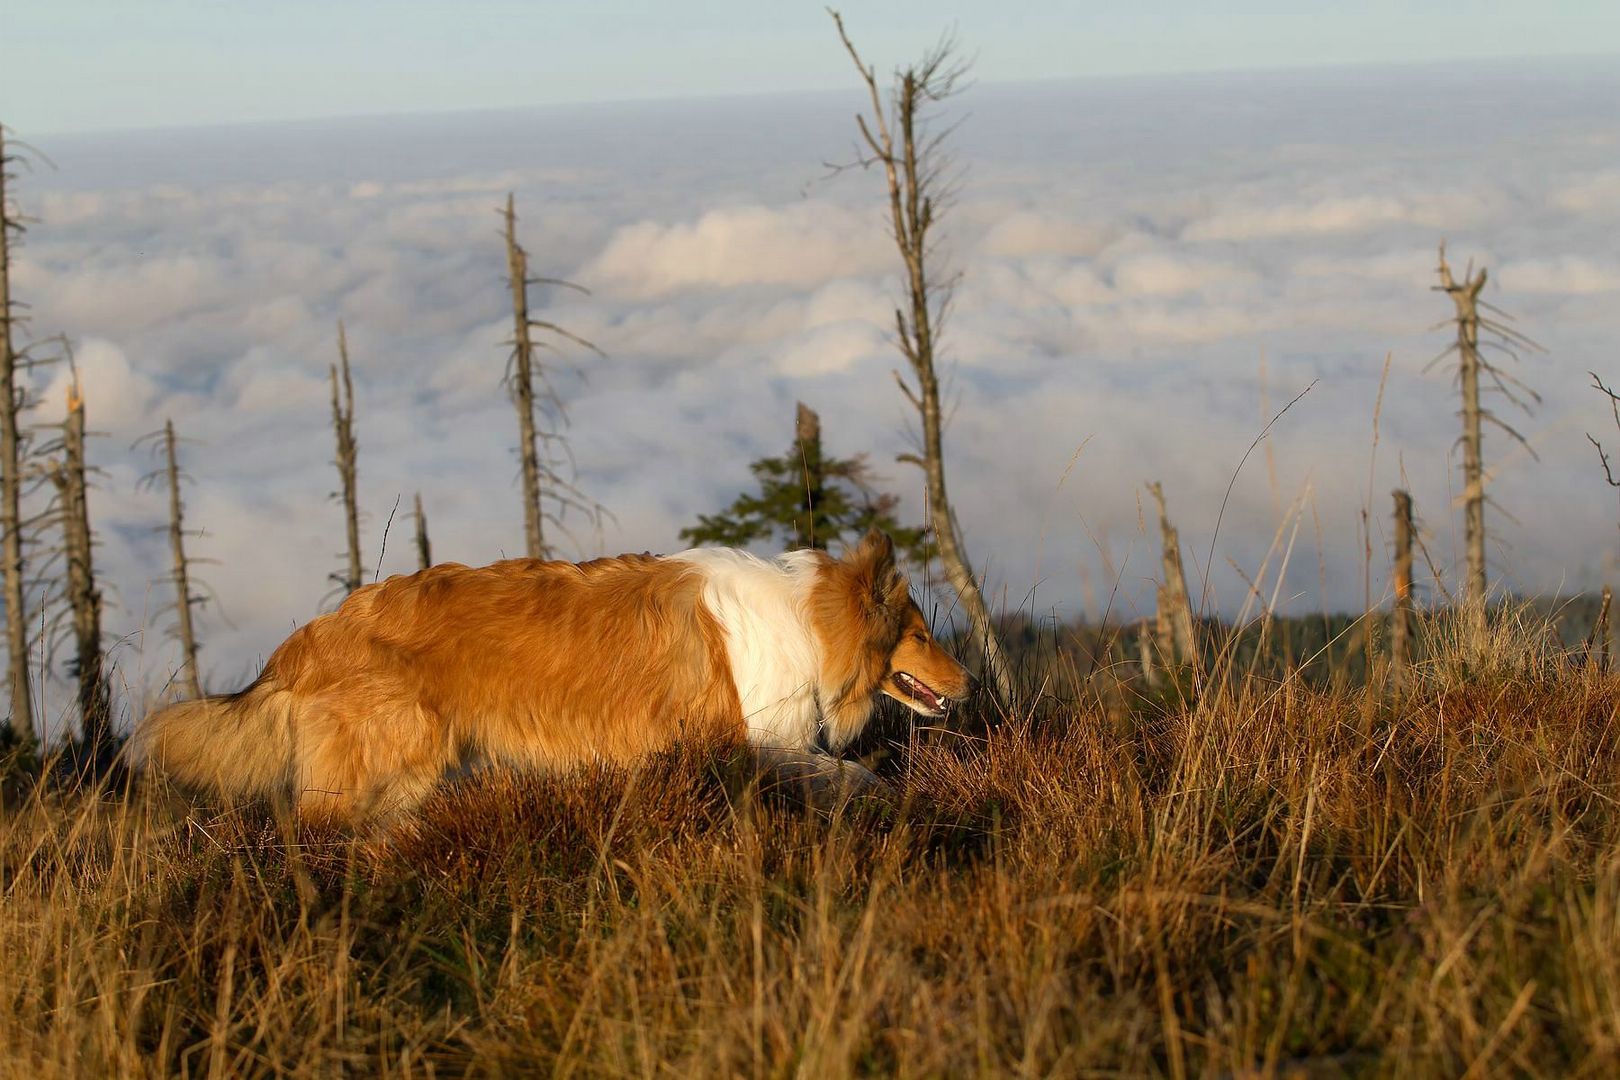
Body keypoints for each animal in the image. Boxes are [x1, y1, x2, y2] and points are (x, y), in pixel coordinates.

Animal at [136, 531, 959, 819]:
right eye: (920, 636)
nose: (971, 683)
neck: (809, 620)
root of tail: (306, 642)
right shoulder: (754, 738)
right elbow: (853, 773)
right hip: (389, 765)